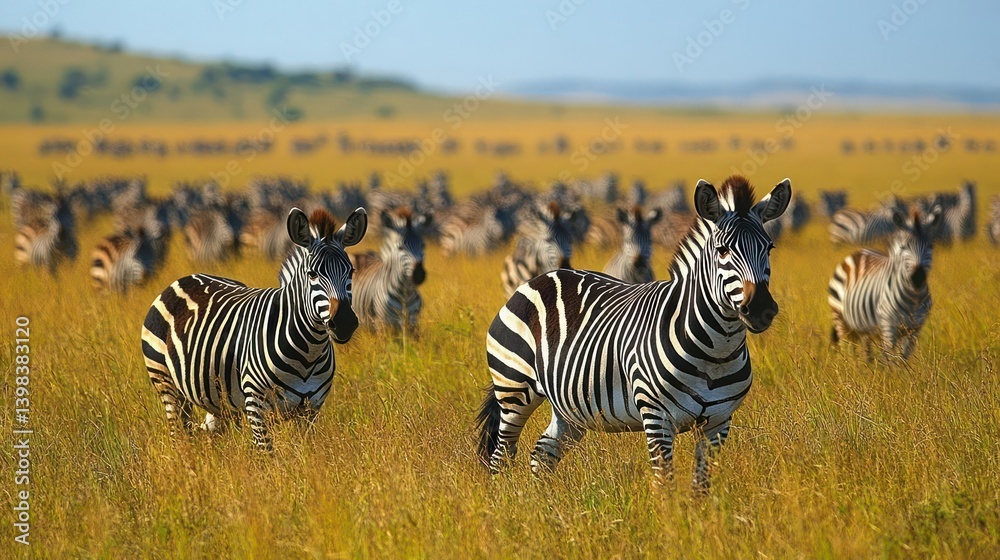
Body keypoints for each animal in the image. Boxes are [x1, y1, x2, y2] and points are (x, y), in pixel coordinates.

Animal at [141, 207, 367, 450]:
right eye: (312, 274)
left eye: (351, 271)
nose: (344, 322)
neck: (308, 352)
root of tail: (184, 278)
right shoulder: (256, 404)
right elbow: (266, 452)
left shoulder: (311, 408)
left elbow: (304, 451)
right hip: (167, 384)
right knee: (179, 435)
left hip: (217, 399)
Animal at [477, 175, 791, 491]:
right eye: (722, 250)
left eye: (770, 248)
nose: (761, 309)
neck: (716, 351)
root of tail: (545, 276)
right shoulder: (657, 417)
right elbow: (664, 483)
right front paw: (671, 507)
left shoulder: (718, 422)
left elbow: (700, 486)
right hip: (513, 388)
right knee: (502, 454)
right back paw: (506, 499)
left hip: (570, 406)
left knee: (543, 453)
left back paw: (547, 501)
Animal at [828, 206, 941, 360]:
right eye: (903, 247)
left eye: (931, 245)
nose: (918, 277)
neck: (913, 298)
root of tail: (859, 251)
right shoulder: (888, 326)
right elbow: (889, 359)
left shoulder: (914, 328)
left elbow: (902, 359)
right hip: (840, 318)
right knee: (846, 348)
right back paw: (849, 365)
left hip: (865, 327)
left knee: (865, 350)